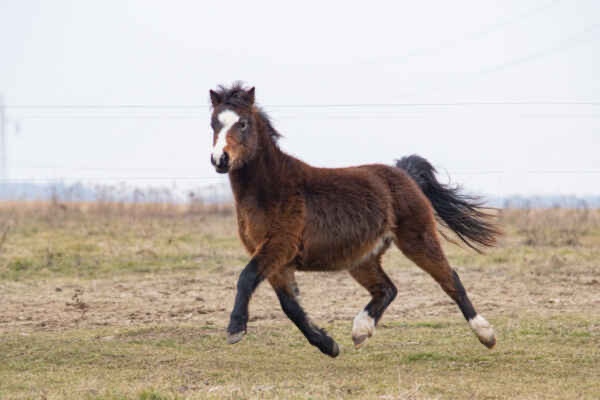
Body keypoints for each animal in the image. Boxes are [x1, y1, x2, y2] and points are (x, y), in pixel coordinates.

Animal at [209, 83, 500, 358]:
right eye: (214, 122)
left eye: (242, 123)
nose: (220, 159)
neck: (272, 188)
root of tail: (404, 174)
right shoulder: (276, 260)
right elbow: (290, 306)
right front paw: (328, 345)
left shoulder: (279, 246)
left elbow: (247, 277)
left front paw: (235, 329)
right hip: (361, 258)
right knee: (387, 289)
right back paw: (361, 330)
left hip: (417, 238)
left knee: (450, 280)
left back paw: (486, 334)